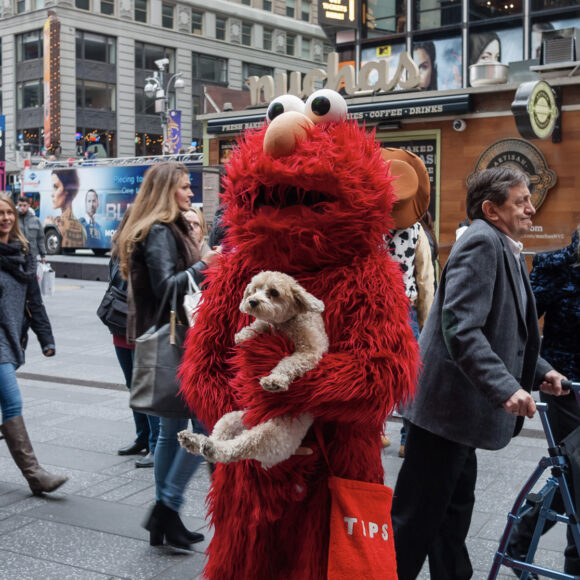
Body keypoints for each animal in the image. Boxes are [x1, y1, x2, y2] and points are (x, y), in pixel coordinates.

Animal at [179, 270, 328, 466]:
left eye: (274, 292)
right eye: (254, 290)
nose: (252, 301)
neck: (285, 322)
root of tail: (252, 422)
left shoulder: (309, 351)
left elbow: (289, 362)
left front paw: (274, 381)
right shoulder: (270, 326)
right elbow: (259, 324)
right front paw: (243, 335)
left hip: (270, 434)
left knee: (235, 449)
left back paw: (208, 447)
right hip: (230, 419)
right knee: (221, 441)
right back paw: (196, 441)